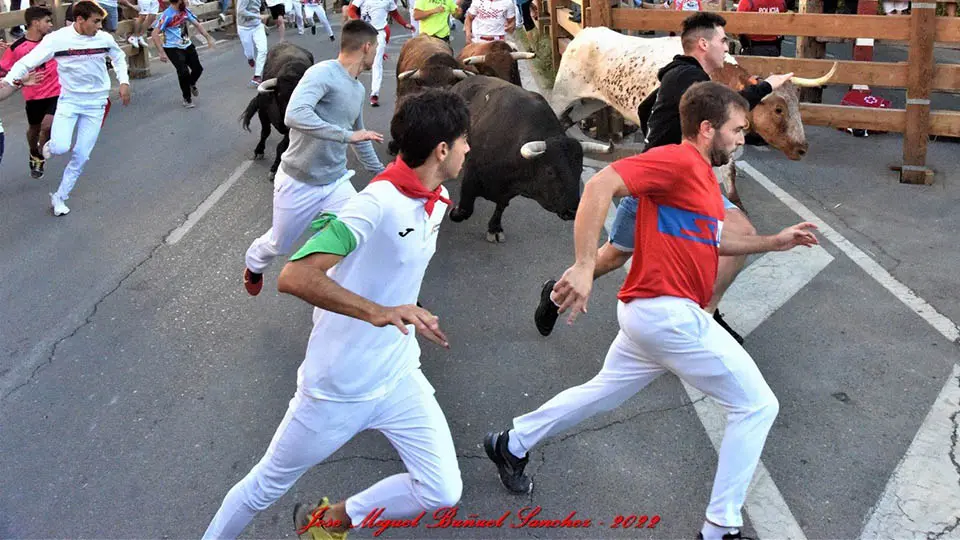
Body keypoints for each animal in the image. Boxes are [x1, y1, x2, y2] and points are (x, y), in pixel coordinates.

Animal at [240, 42, 316, 181]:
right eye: (281, 94)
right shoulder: (263, 112)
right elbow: (265, 132)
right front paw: (259, 151)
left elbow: (281, 146)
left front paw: (274, 169)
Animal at [446, 76, 612, 243]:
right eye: (550, 171)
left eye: (580, 169)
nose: (572, 210)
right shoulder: (471, 177)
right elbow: (465, 210)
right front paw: (454, 212)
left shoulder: (509, 191)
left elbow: (501, 206)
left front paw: (495, 228)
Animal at [552, 26, 836, 206]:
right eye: (778, 109)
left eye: (797, 105)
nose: (802, 148)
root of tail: (584, 34)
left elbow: (731, 182)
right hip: (563, 94)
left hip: (587, 103)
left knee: (565, 123)